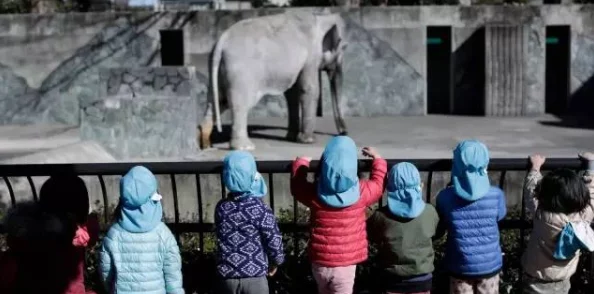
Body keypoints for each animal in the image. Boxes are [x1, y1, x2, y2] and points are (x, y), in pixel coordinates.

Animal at [199, 11, 346, 150]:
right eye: (343, 48)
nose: (344, 133)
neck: (320, 17)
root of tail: (221, 42)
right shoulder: (311, 57)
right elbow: (309, 89)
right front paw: (308, 141)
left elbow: (291, 94)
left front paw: (291, 138)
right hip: (241, 74)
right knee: (240, 105)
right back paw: (245, 147)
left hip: (219, 70)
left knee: (218, 101)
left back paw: (205, 144)